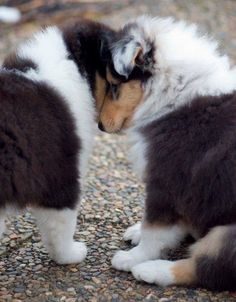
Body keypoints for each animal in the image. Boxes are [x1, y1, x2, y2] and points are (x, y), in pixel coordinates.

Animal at [98, 15, 236, 290]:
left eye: (114, 86)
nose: (99, 125)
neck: (173, 93)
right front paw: (138, 232)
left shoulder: (166, 181)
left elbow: (155, 228)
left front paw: (134, 256)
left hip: (229, 234)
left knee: (209, 269)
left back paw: (151, 270)